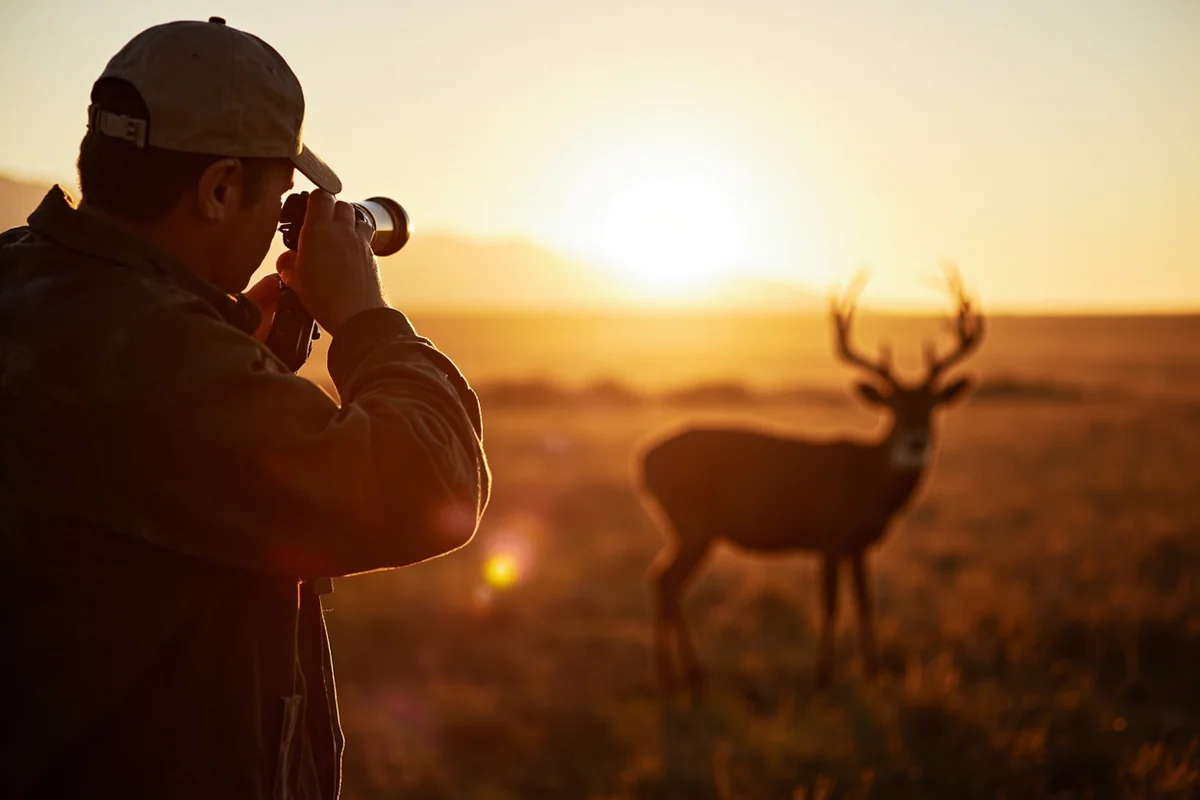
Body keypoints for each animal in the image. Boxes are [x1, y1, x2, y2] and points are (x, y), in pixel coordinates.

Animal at [639, 267, 986, 701]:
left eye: (932, 407)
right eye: (893, 408)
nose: (916, 441)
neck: (867, 480)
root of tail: (642, 462)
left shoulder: (858, 544)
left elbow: (865, 601)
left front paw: (874, 672)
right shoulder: (829, 535)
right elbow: (830, 603)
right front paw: (824, 678)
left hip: (690, 527)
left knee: (662, 580)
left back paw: (681, 678)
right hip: (692, 523)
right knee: (667, 581)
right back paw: (681, 679)